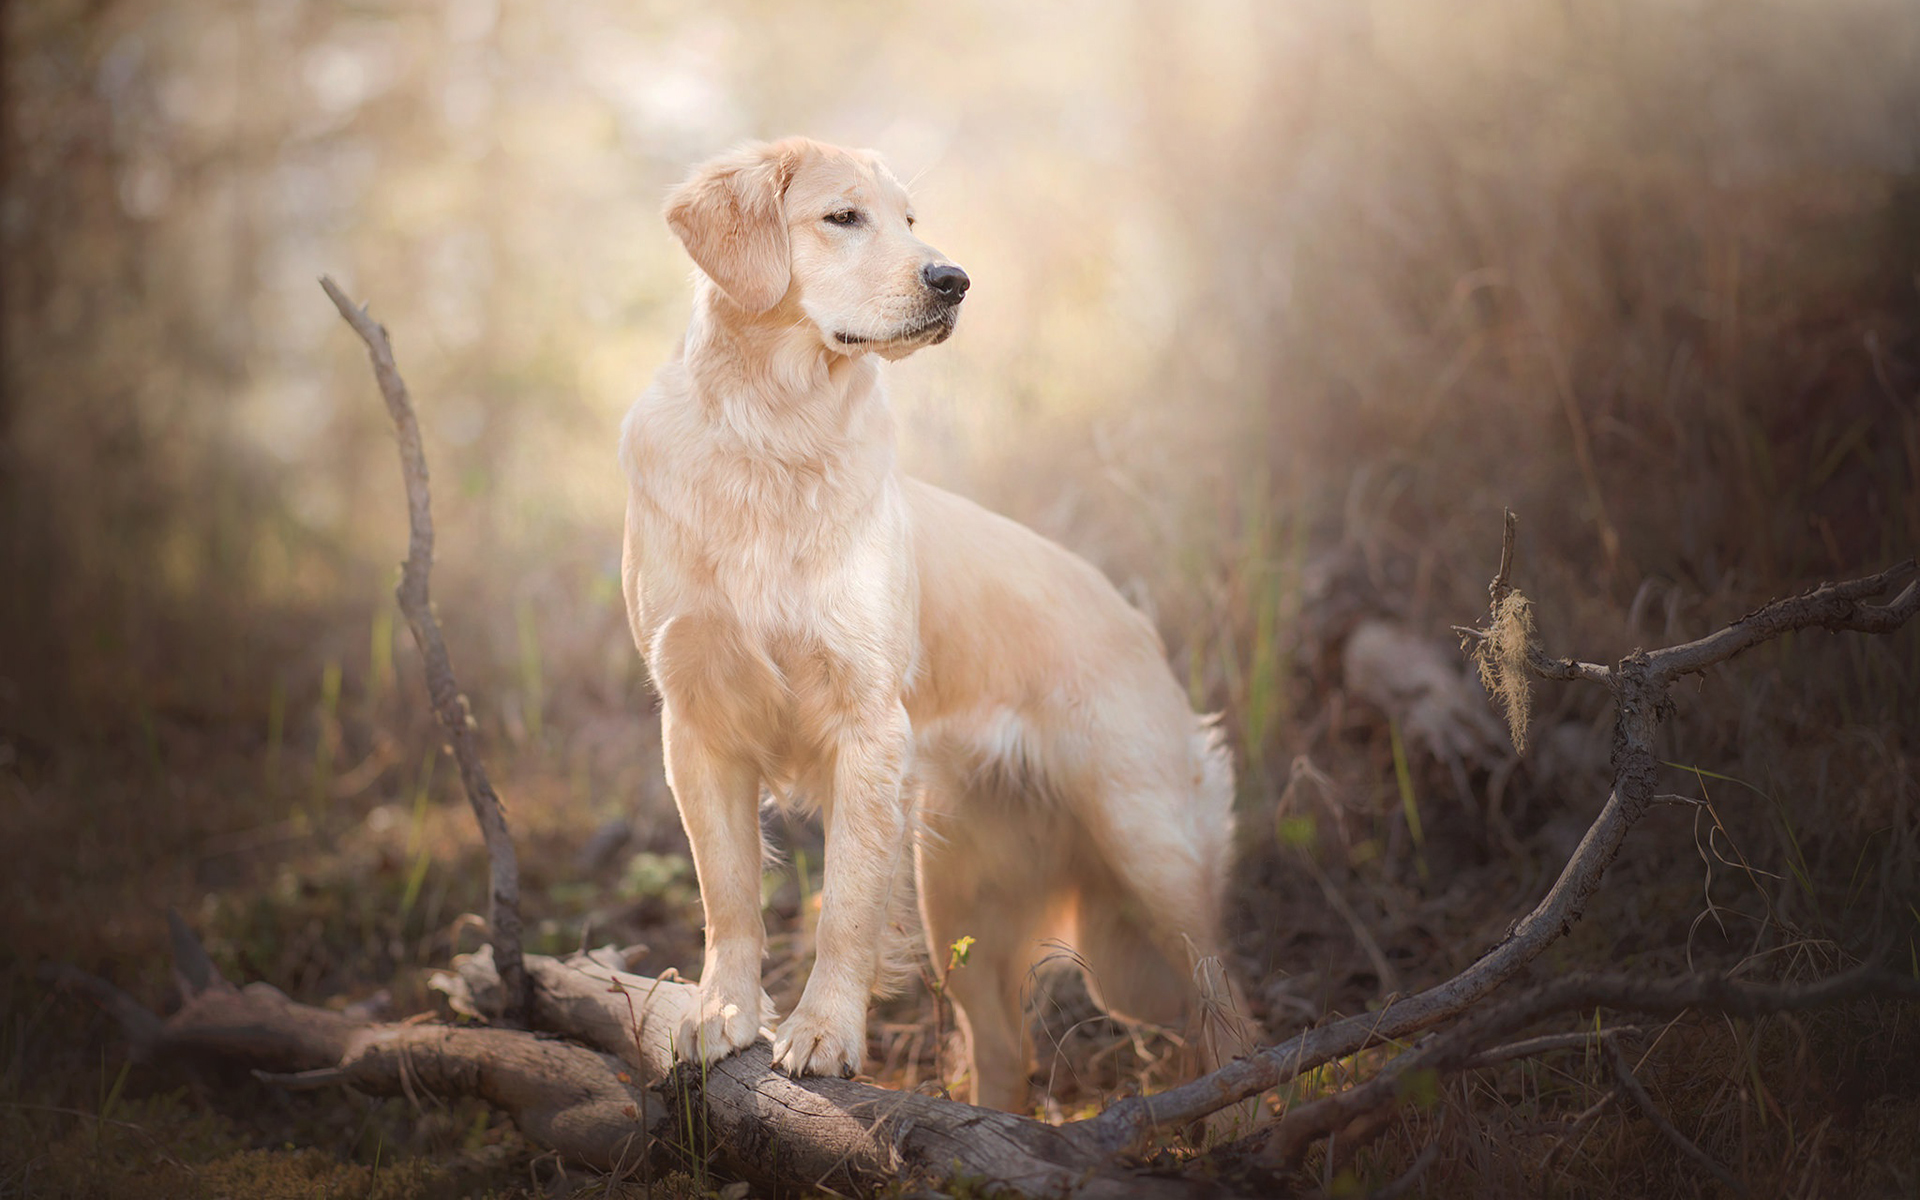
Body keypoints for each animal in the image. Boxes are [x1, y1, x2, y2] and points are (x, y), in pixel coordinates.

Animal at [614, 138, 1244, 1105]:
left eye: (911, 219)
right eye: (843, 217)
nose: (955, 280)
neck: (773, 431)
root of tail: (1135, 621)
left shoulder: (867, 726)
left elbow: (845, 908)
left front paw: (822, 1033)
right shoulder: (697, 724)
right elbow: (727, 896)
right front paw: (722, 1016)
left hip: (1152, 855)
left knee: (1230, 1013)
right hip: (968, 900)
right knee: (1007, 1050)